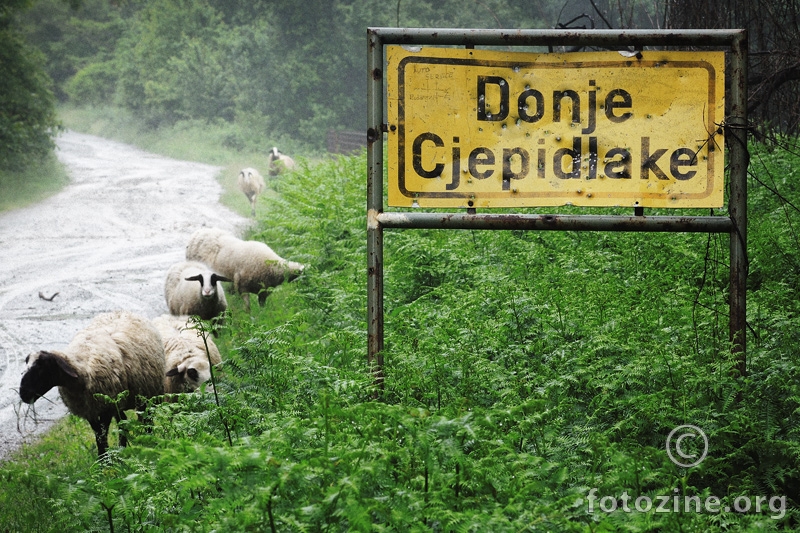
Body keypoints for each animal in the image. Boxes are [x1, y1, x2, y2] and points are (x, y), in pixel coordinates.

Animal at [19, 310, 166, 456]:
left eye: (42, 368)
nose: (23, 393)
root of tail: (122, 311)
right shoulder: (90, 410)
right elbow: (98, 435)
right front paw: (103, 457)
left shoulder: (105, 408)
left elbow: (102, 436)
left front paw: (105, 460)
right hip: (119, 401)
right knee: (123, 422)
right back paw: (122, 449)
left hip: (144, 396)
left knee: (146, 420)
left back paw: (148, 442)